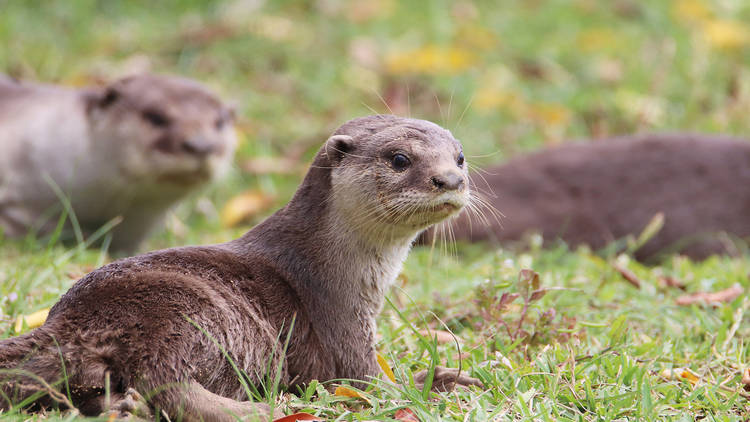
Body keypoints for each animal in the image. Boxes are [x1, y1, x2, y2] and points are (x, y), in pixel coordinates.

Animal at [0, 114, 478, 418]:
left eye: (459, 157)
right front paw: (433, 384)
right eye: (399, 159)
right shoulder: (341, 324)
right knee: (166, 382)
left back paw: (124, 408)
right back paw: (261, 408)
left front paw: (449, 376)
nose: (451, 180)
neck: (325, 266)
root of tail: (70, 320)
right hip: (180, 308)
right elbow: (369, 381)